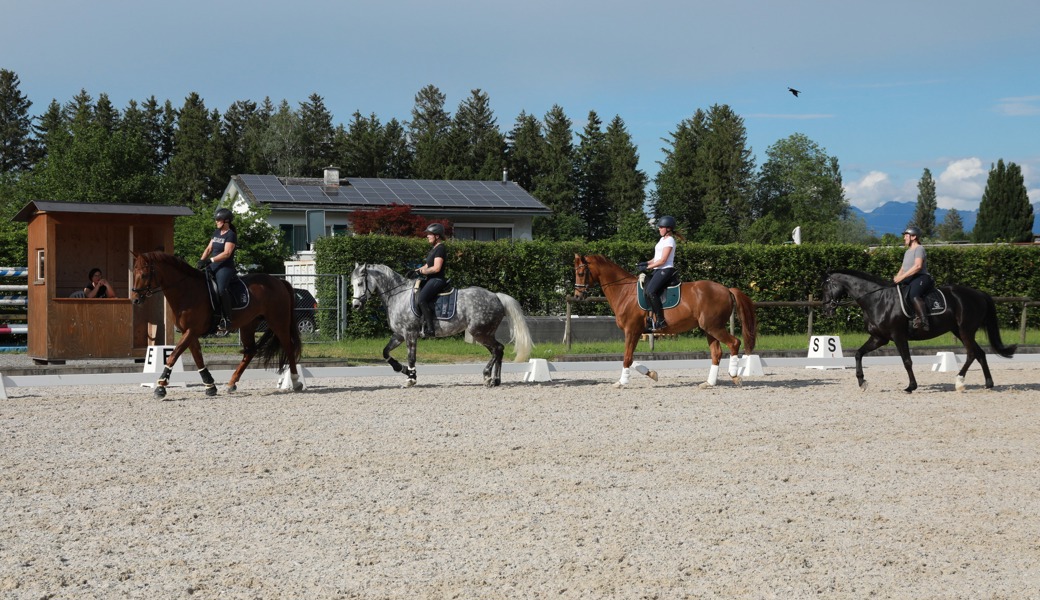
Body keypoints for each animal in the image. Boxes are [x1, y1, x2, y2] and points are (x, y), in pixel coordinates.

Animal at [353, 263, 536, 386]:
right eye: (352, 284)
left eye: (360, 284)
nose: (355, 305)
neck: (397, 296)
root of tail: (496, 296)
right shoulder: (399, 335)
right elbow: (385, 352)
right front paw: (402, 369)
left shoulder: (410, 333)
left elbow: (411, 356)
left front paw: (411, 378)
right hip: (485, 333)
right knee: (497, 351)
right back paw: (495, 380)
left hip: (480, 332)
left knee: (497, 349)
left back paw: (487, 376)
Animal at [574, 253, 761, 388]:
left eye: (581, 273)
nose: (577, 296)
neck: (625, 292)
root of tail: (726, 289)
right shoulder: (634, 332)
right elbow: (630, 357)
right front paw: (651, 374)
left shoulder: (632, 330)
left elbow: (627, 357)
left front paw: (622, 382)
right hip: (709, 328)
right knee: (717, 353)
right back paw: (709, 383)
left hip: (713, 326)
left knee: (734, 343)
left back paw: (735, 376)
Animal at [819, 270, 1015, 393]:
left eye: (826, 287)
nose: (826, 310)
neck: (877, 299)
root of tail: (979, 294)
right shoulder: (879, 338)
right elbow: (858, 354)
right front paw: (862, 382)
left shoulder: (898, 336)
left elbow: (907, 361)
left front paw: (911, 386)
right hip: (960, 331)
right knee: (980, 353)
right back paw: (988, 383)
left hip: (965, 330)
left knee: (972, 353)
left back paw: (959, 382)